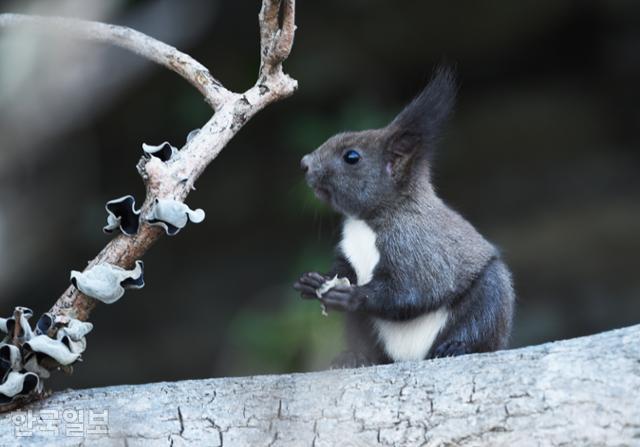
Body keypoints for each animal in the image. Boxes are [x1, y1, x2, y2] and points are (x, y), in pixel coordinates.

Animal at [294, 66, 516, 368]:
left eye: (352, 157)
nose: (304, 163)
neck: (367, 221)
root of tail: (408, 357)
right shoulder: (347, 254)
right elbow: (343, 270)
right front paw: (313, 281)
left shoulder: (415, 245)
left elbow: (413, 289)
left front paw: (353, 295)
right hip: (363, 331)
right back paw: (354, 357)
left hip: (491, 298)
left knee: (481, 324)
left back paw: (457, 347)